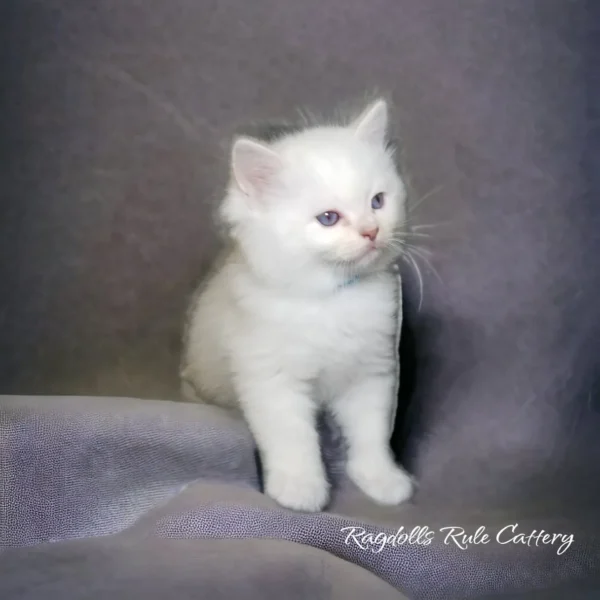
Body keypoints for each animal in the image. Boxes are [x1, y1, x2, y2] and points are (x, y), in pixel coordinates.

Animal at [182, 98, 412, 510]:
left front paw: (380, 479)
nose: (372, 231)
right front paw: (300, 489)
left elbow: (372, 434)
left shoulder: (371, 371)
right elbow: (293, 440)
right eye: (328, 218)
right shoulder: (272, 380)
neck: (332, 297)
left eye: (378, 202)